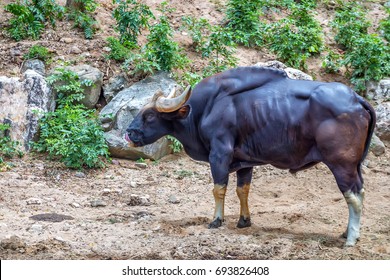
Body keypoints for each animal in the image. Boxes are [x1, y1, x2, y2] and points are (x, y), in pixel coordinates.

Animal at [125, 66, 374, 246]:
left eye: (149, 115)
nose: (128, 133)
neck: (207, 108)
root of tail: (355, 99)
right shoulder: (245, 162)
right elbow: (242, 190)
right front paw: (244, 220)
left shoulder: (219, 155)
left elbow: (219, 189)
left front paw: (216, 220)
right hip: (356, 166)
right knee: (360, 192)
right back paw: (347, 233)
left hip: (341, 164)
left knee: (352, 196)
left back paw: (351, 239)